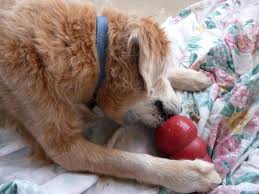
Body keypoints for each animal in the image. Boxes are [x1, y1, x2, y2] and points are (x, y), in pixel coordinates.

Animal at [0, 0, 221, 192]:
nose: (179, 110)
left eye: (166, 66)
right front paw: (189, 174)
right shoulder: (63, 149)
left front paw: (190, 77)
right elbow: (129, 161)